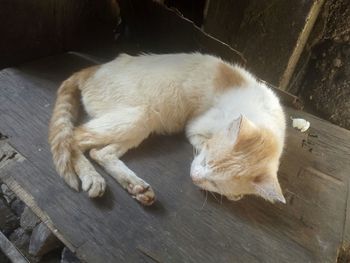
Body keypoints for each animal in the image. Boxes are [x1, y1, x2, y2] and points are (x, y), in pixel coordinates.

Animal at [49, 53, 286, 206]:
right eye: (206, 161)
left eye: (214, 183)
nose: (194, 178)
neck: (262, 115)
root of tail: (93, 69)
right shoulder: (195, 128)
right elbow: (199, 140)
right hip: (141, 115)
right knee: (73, 138)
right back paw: (93, 179)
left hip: (141, 123)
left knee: (99, 152)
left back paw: (136, 187)